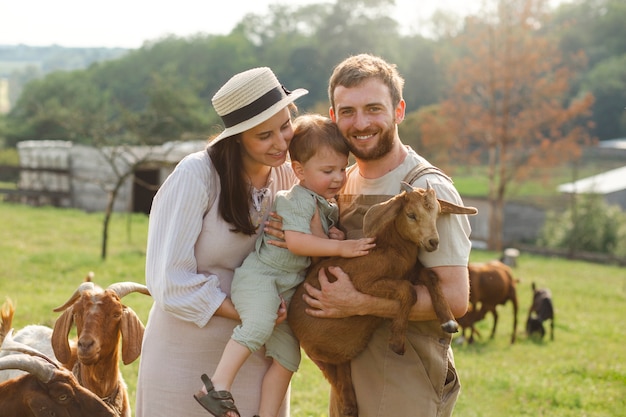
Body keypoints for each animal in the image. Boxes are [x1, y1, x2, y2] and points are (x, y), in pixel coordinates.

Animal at [288, 182, 478, 416]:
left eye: (437, 214)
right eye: (411, 214)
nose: (433, 242)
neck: (389, 250)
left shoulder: (412, 273)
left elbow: (431, 276)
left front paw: (449, 320)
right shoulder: (365, 284)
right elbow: (409, 291)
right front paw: (397, 342)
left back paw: (351, 407)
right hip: (315, 353)